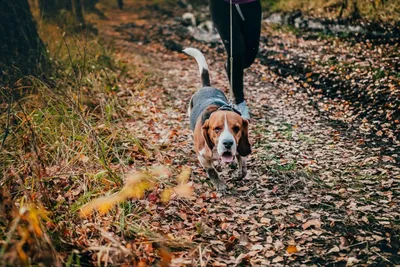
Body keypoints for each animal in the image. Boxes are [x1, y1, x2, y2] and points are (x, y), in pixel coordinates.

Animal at [184, 48, 252, 193]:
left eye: (236, 128)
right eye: (217, 129)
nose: (228, 143)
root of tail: (206, 86)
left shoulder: (240, 149)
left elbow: (243, 167)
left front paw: (238, 174)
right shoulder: (202, 155)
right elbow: (212, 171)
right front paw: (219, 184)